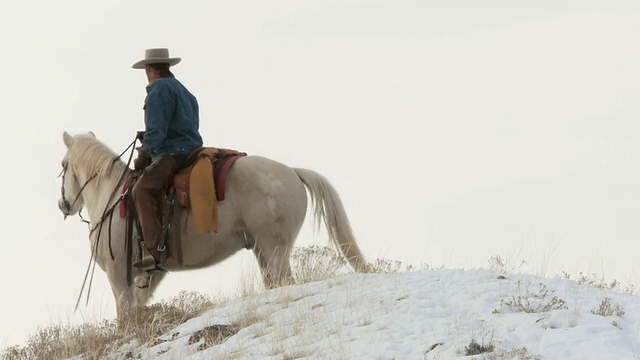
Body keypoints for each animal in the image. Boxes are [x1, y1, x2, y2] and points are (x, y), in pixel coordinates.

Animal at [60, 131, 370, 320]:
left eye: (63, 164)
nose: (64, 205)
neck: (111, 195)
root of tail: (293, 172)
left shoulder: (118, 276)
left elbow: (124, 318)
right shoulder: (148, 277)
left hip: (274, 250)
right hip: (264, 251)